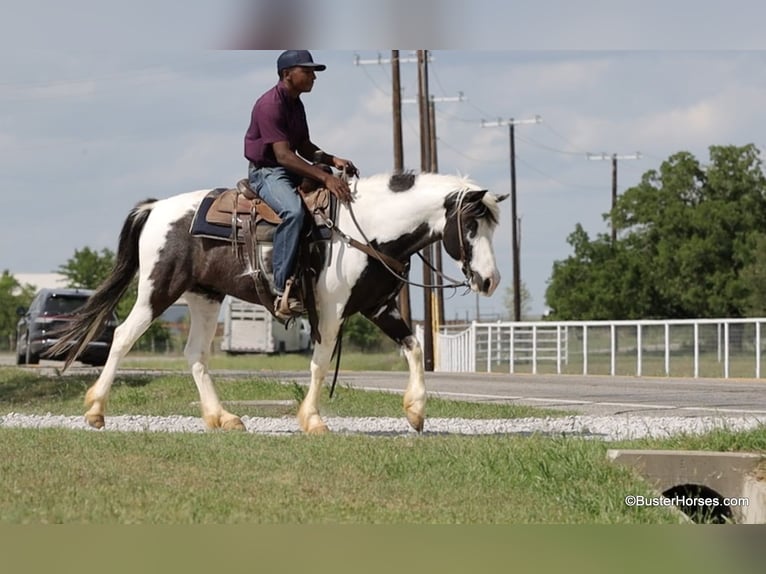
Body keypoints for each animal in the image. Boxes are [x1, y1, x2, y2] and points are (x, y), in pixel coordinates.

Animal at [49, 171, 507, 434]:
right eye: (470, 226)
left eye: (491, 226)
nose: (490, 281)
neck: (368, 230)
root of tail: (156, 207)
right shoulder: (330, 310)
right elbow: (320, 363)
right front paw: (314, 420)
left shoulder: (379, 307)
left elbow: (412, 348)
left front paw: (415, 412)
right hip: (157, 289)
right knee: (124, 337)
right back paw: (95, 411)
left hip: (204, 296)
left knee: (196, 354)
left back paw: (223, 418)